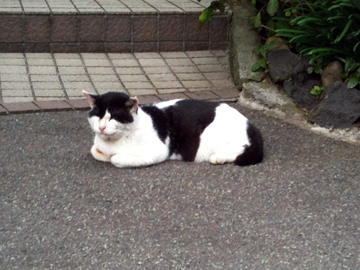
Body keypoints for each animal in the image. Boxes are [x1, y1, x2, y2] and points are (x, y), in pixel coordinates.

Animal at [84, 91, 264, 167]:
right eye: (99, 116)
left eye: (113, 117)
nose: (102, 127)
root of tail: (251, 125)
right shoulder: (97, 146)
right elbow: (94, 150)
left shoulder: (158, 151)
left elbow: (115, 159)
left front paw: (113, 157)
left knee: (240, 152)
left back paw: (219, 158)